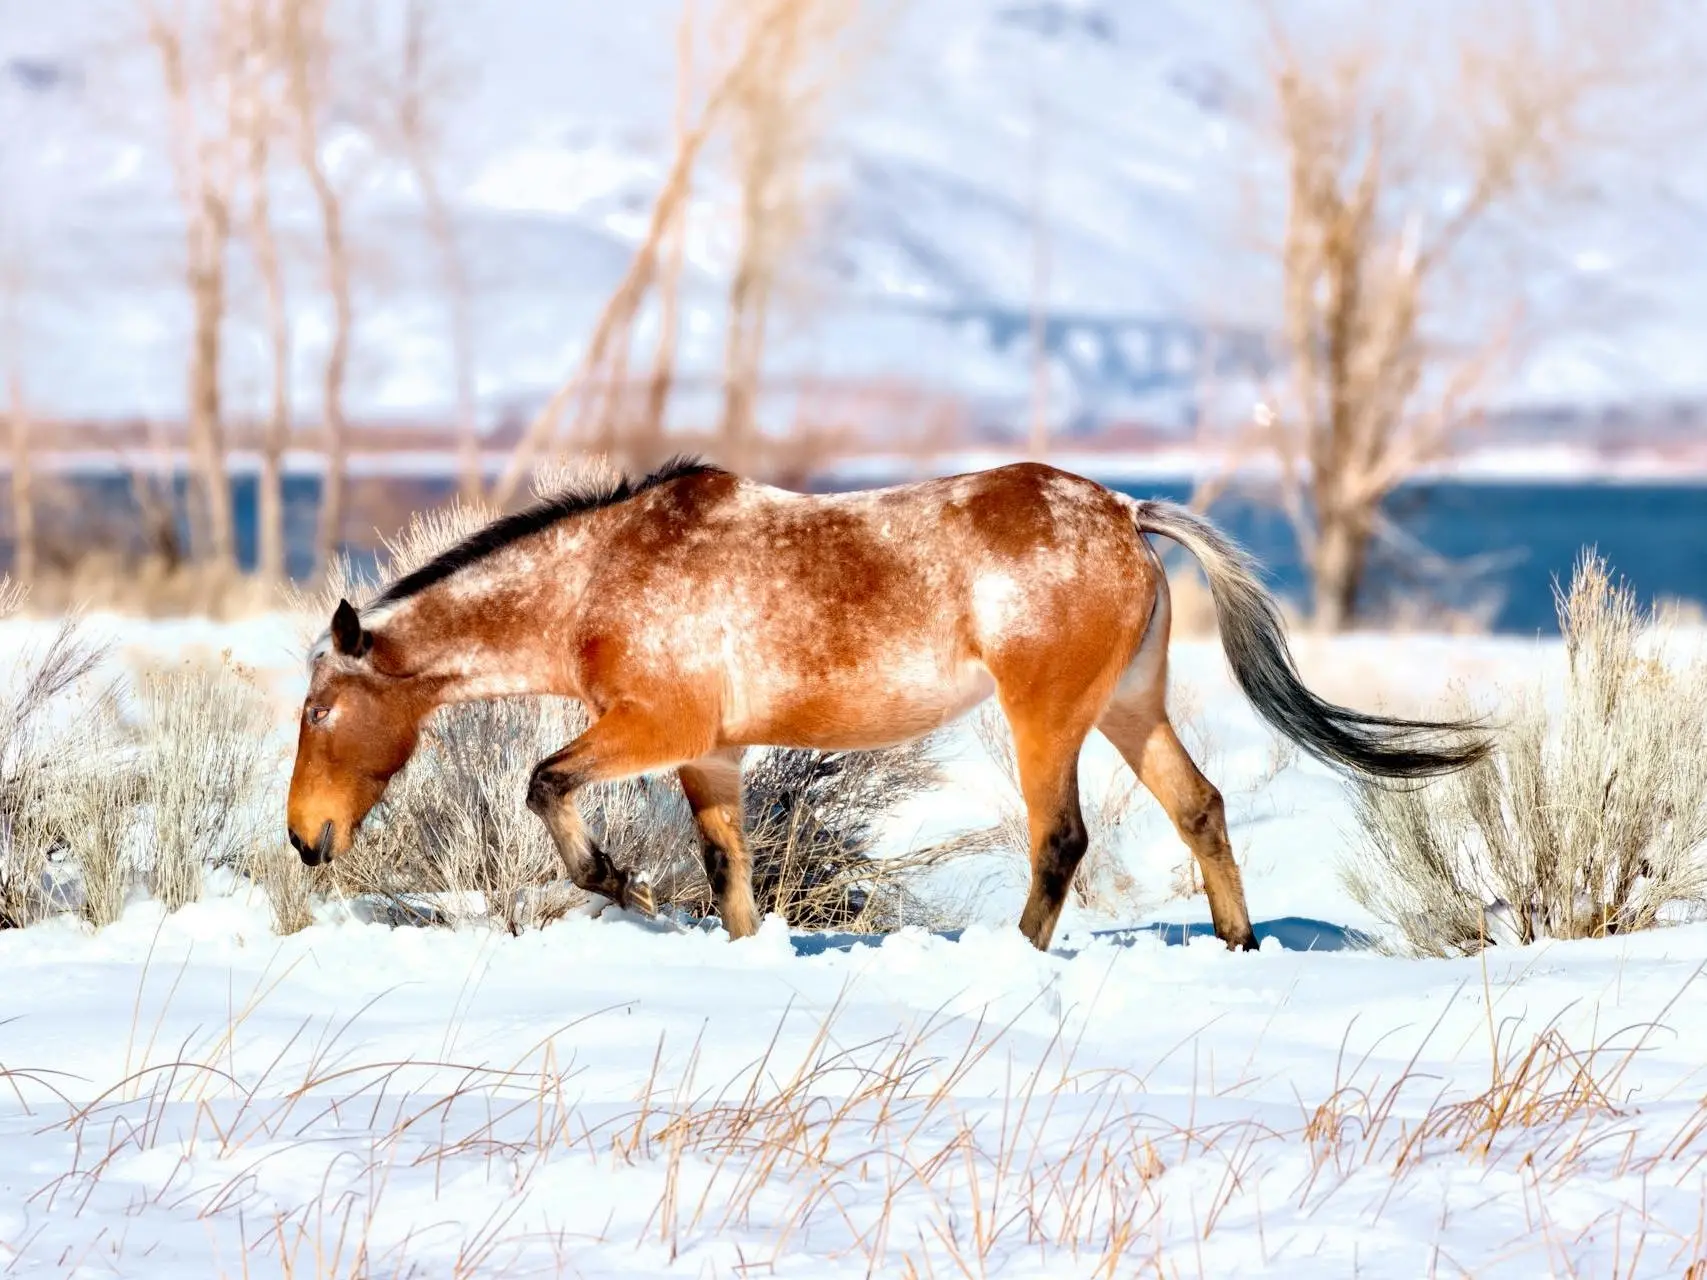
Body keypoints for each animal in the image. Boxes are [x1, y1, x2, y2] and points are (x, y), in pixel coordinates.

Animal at [286, 460, 1488, 955]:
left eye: (318, 712)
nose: (305, 838)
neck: (601, 579)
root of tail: (1123, 511)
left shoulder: (655, 731)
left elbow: (545, 785)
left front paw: (621, 882)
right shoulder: (711, 756)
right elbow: (728, 870)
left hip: (1046, 717)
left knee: (1060, 838)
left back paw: (1015, 957)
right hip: (1127, 707)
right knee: (1200, 806)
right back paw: (1238, 947)